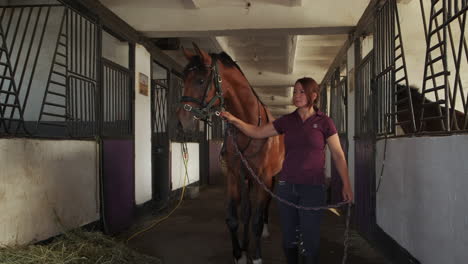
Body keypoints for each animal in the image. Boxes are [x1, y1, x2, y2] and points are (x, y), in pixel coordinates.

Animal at [176, 43, 284, 264]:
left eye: (200, 80)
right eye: (183, 79)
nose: (182, 122)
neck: (249, 126)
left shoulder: (263, 176)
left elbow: (257, 219)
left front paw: (256, 257)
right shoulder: (235, 174)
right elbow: (234, 217)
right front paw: (239, 254)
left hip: (271, 178)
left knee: (265, 206)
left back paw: (265, 230)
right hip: (247, 178)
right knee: (247, 211)